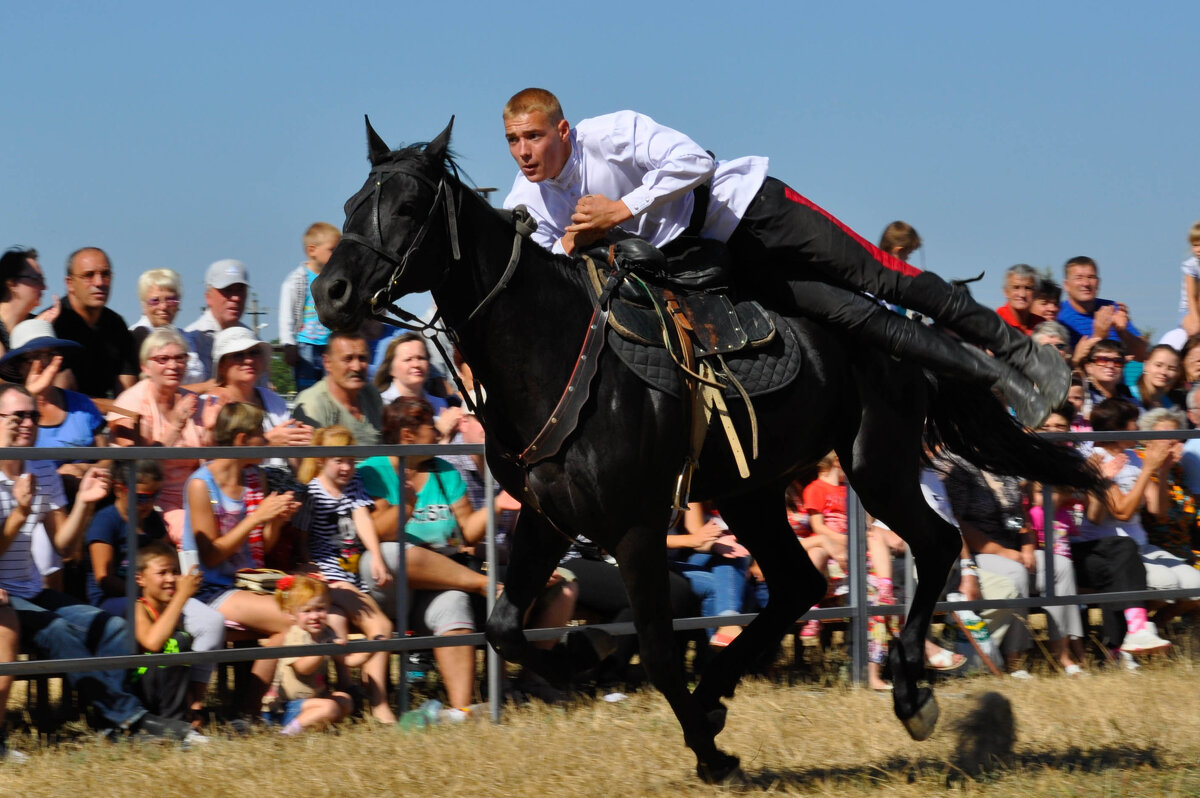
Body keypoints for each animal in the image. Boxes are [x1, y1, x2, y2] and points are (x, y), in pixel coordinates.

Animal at [314, 120, 1099, 782]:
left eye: (409, 205)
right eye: (351, 203)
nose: (331, 292)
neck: (553, 346)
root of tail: (892, 340)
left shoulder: (634, 527)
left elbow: (660, 651)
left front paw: (709, 749)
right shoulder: (548, 517)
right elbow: (506, 627)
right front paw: (588, 666)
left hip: (874, 460)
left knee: (933, 531)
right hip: (753, 491)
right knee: (800, 582)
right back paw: (728, 684)